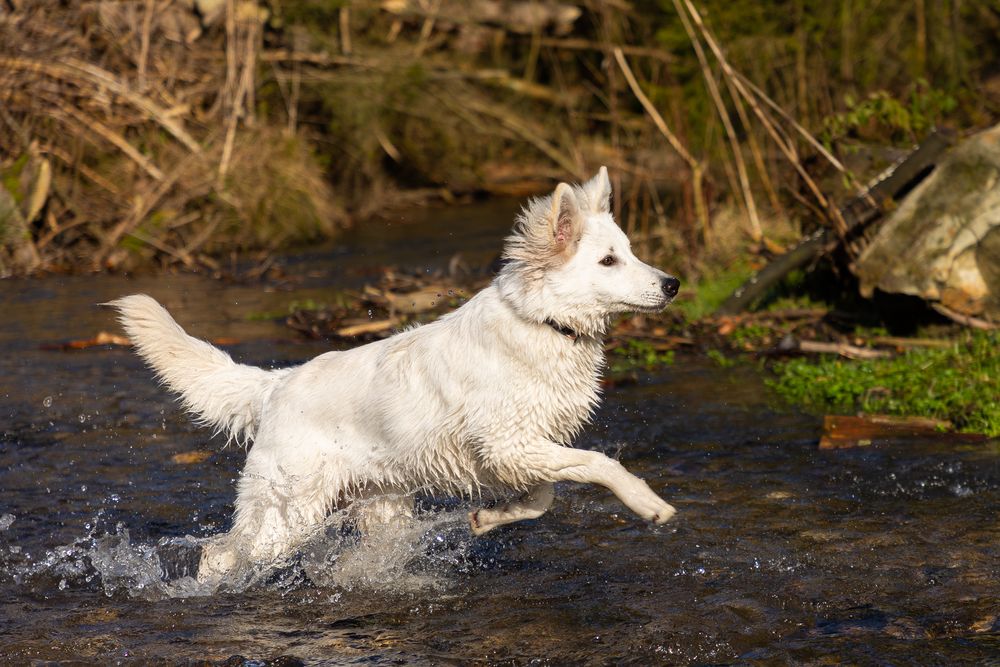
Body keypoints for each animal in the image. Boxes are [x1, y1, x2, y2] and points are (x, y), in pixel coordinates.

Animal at [113, 167, 684, 580]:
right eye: (608, 261)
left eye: (630, 253)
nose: (674, 284)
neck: (542, 322)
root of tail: (276, 383)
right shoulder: (509, 444)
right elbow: (600, 463)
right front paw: (648, 504)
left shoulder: (520, 451)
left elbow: (542, 498)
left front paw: (488, 518)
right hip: (288, 514)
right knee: (222, 554)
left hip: (381, 508)